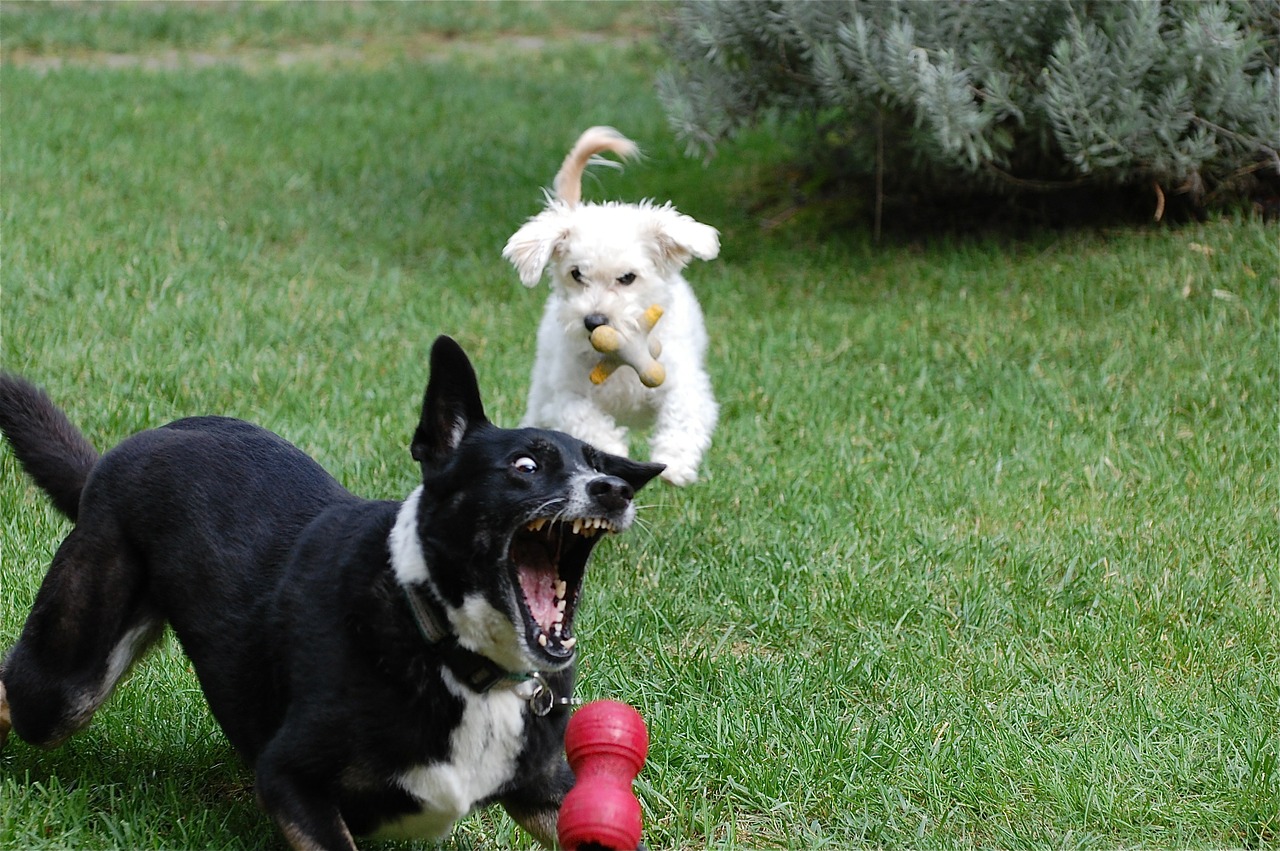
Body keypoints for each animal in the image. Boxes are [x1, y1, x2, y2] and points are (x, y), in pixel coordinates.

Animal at [0, 337, 660, 849]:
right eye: (525, 466)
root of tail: (109, 462)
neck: (454, 656)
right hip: (63, 687)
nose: (614, 491)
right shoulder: (291, 781)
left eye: (599, 465)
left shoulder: (545, 793)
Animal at [499, 126, 721, 483]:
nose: (594, 321)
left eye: (628, 277)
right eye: (576, 274)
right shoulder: (566, 395)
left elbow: (683, 415)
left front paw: (674, 462)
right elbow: (584, 419)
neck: (619, 363)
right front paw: (609, 451)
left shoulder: (683, 383)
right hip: (543, 386)